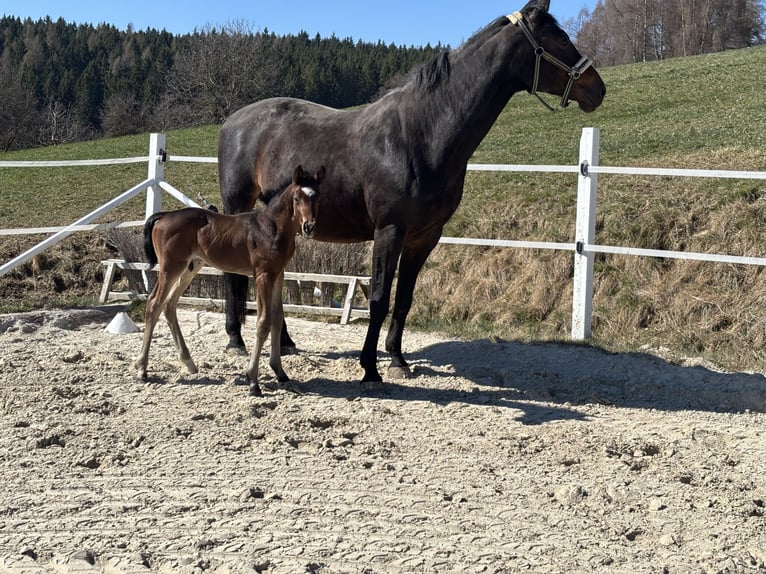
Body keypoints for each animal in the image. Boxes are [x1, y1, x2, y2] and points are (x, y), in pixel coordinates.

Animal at [134, 165, 324, 396]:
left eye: (318, 196)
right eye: (297, 198)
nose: (309, 227)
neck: (272, 227)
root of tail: (164, 216)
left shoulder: (278, 274)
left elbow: (277, 318)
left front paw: (281, 374)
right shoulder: (262, 275)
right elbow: (263, 321)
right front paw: (253, 381)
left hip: (191, 266)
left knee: (169, 305)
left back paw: (189, 362)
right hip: (171, 268)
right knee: (154, 304)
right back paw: (142, 370)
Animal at [217, 0, 606, 385]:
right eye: (559, 38)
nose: (597, 89)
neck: (420, 133)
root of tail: (231, 121)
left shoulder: (425, 235)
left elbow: (404, 298)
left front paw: (397, 359)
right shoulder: (389, 230)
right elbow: (378, 298)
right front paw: (369, 367)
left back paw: (285, 342)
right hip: (237, 205)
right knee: (233, 272)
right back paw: (235, 340)